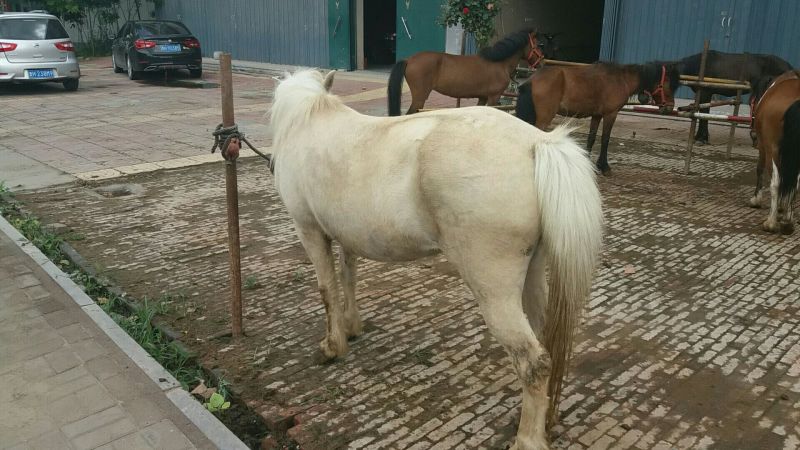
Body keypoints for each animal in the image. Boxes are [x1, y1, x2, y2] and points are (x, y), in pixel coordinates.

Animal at [270, 69, 603, 449]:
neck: (309, 122)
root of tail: (536, 144)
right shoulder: (346, 236)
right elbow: (348, 277)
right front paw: (352, 328)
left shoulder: (310, 231)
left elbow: (327, 290)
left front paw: (331, 347)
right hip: (532, 275)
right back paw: (545, 419)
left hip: (495, 292)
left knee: (534, 362)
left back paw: (527, 439)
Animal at [387, 29, 555, 116]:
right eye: (539, 45)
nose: (543, 62)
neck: (499, 62)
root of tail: (409, 59)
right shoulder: (494, 97)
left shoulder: (483, 97)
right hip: (419, 98)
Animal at [515, 62, 680, 174]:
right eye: (667, 84)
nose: (669, 107)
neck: (621, 79)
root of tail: (531, 80)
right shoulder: (610, 114)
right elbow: (605, 139)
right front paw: (604, 166)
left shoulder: (596, 115)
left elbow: (591, 138)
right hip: (544, 118)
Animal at [748, 70, 800, 234]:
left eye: (751, 102)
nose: (752, 135)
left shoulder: (763, 145)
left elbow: (760, 169)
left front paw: (756, 199)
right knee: (796, 184)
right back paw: (788, 221)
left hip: (773, 150)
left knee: (776, 182)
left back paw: (771, 223)